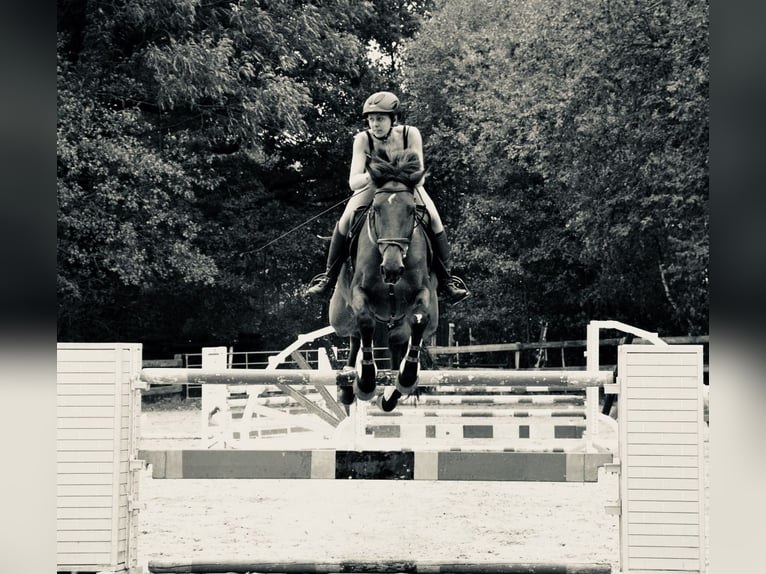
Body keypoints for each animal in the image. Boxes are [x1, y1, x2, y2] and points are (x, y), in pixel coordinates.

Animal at [328, 150, 438, 414]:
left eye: (411, 210)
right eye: (376, 210)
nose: (391, 269)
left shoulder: (423, 293)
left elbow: (418, 319)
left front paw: (406, 377)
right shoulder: (359, 292)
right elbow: (365, 321)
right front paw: (366, 381)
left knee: (399, 340)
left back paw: (390, 393)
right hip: (340, 316)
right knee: (355, 334)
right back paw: (349, 384)